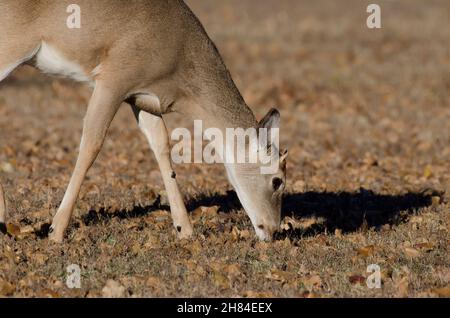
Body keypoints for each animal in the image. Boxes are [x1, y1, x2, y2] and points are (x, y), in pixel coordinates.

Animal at [0, 0, 288, 242]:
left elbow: (162, 147)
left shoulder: (142, 98)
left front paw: (185, 230)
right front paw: (56, 231)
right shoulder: (114, 78)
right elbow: (92, 143)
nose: (273, 230)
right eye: (278, 181)